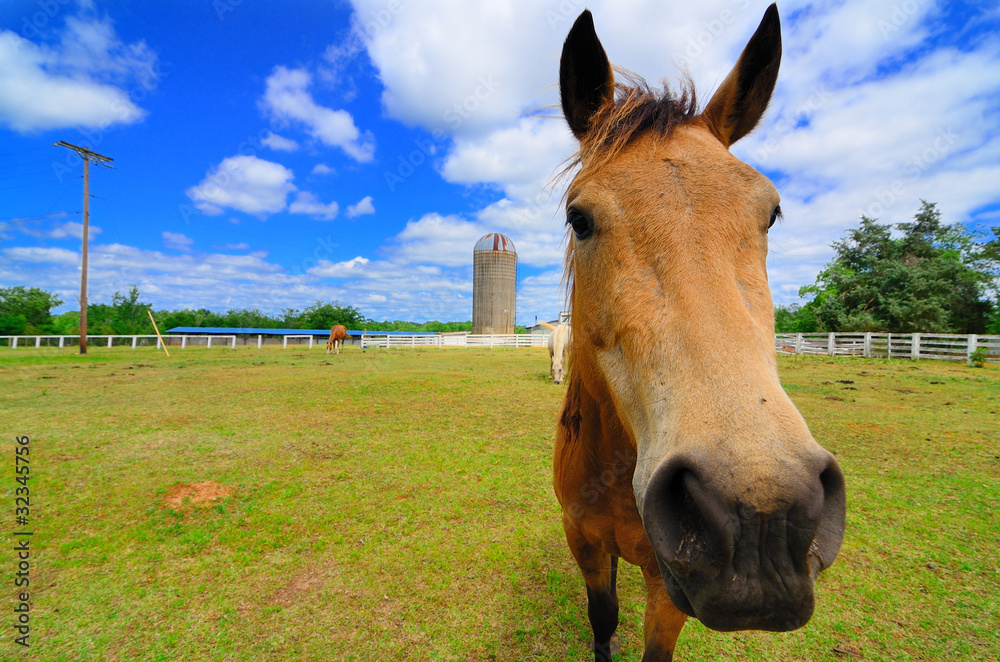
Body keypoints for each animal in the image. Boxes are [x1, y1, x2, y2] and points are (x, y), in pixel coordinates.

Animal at [552, 6, 848, 662]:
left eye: (771, 213)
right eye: (578, 218)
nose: (762, 517)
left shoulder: (669, 585)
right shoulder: (584, 543)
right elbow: (603, 619)